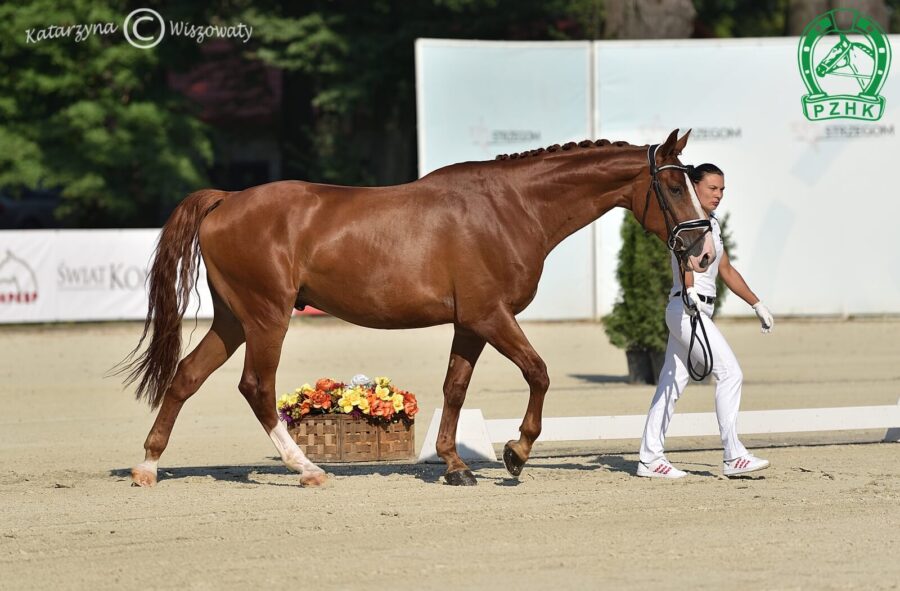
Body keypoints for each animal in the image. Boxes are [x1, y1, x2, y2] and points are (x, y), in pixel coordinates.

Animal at [119, 132, 712, 488]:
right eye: (673, 185)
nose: (703, 252)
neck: (511, 207)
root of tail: (226, 199)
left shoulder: (471, 324)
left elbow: (456, 388)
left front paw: (454, 465)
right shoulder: (492, 316)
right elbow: (539, 373)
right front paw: (516, 452)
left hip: (234, 320)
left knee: (186, 375)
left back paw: (148, 465)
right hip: (267, 318)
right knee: (257, 388)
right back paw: (307, 468)